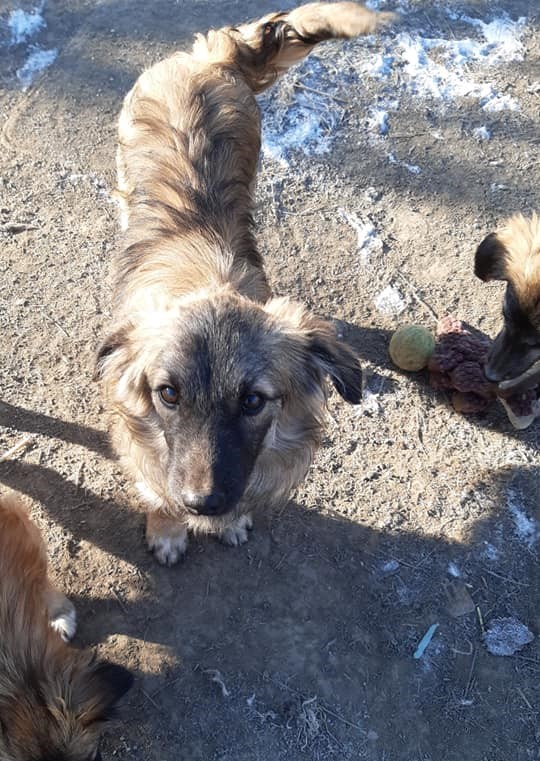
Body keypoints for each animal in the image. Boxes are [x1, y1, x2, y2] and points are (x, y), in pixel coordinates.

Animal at [95, 2, 394, 564]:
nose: (203, 504)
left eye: (253, 401)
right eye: (168, 394)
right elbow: (155, 485)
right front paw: (167, 529)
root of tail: (210, 57)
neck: (205, 278)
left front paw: (230, 522)